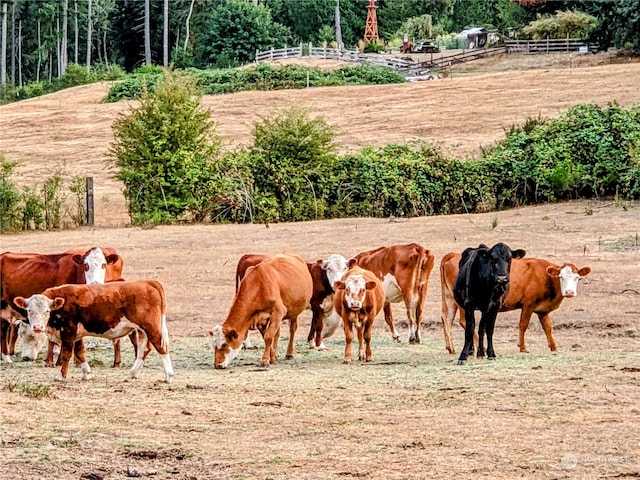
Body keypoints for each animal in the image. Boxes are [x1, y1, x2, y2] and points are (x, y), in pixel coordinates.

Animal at [12, 280, 172, 384]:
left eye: (47, 311)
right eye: (30, 310)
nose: (38, 327)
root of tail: (149, 282)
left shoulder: (68, 332)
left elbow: (66, 354)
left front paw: (61, 376)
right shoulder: (77, 335)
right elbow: (80, 352)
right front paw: (86, 373)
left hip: (151, 327)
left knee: (161, 347)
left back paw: (168, 376)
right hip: (141, 330)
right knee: (143, 350)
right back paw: (131, 375)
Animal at [442, 253, 592, 354]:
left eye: (577, 277)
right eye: (561, 277)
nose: (569, 292)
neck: (545, 276)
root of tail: (453, 255)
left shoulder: (542, 310)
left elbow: (548, 327)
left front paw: (554, 347)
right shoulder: (528, 305)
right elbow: (523, 325)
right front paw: (523, 347)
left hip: (450, 298)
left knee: (447, 318)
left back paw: (451, 348)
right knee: (464, 321)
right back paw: (480, 347)